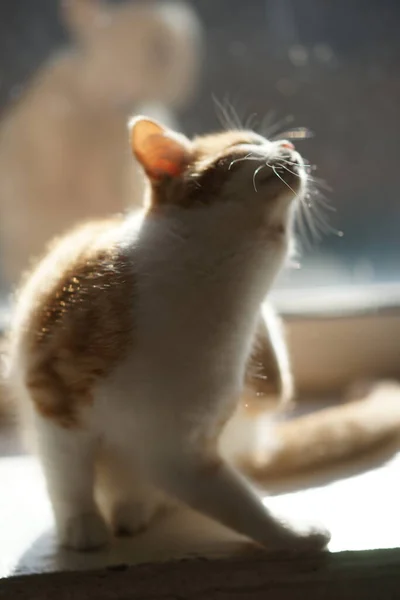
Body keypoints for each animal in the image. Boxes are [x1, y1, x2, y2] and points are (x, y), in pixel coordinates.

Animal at [7, 115, 332, 552]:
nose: (288, 144)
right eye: (246, 143)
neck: (215, 284)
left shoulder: (180, 450)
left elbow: (240, 503)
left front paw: (290, 534)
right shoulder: (53, 395)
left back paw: (135, 508)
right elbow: (69, 475)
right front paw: (81, 524)